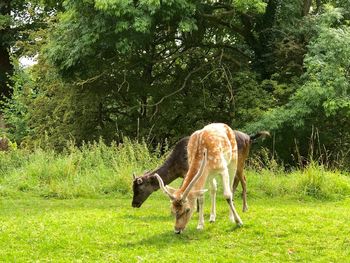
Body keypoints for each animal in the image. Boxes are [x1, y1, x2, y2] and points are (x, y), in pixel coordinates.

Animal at [131, 131, 268, 213]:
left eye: (139, 190)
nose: (133, 204)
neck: (177, 166)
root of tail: (249, 137)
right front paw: (196, 208)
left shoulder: (189, 170)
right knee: (236, 179)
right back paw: (232, 201)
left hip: (239, 160)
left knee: (243, 179)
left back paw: (244, 207)